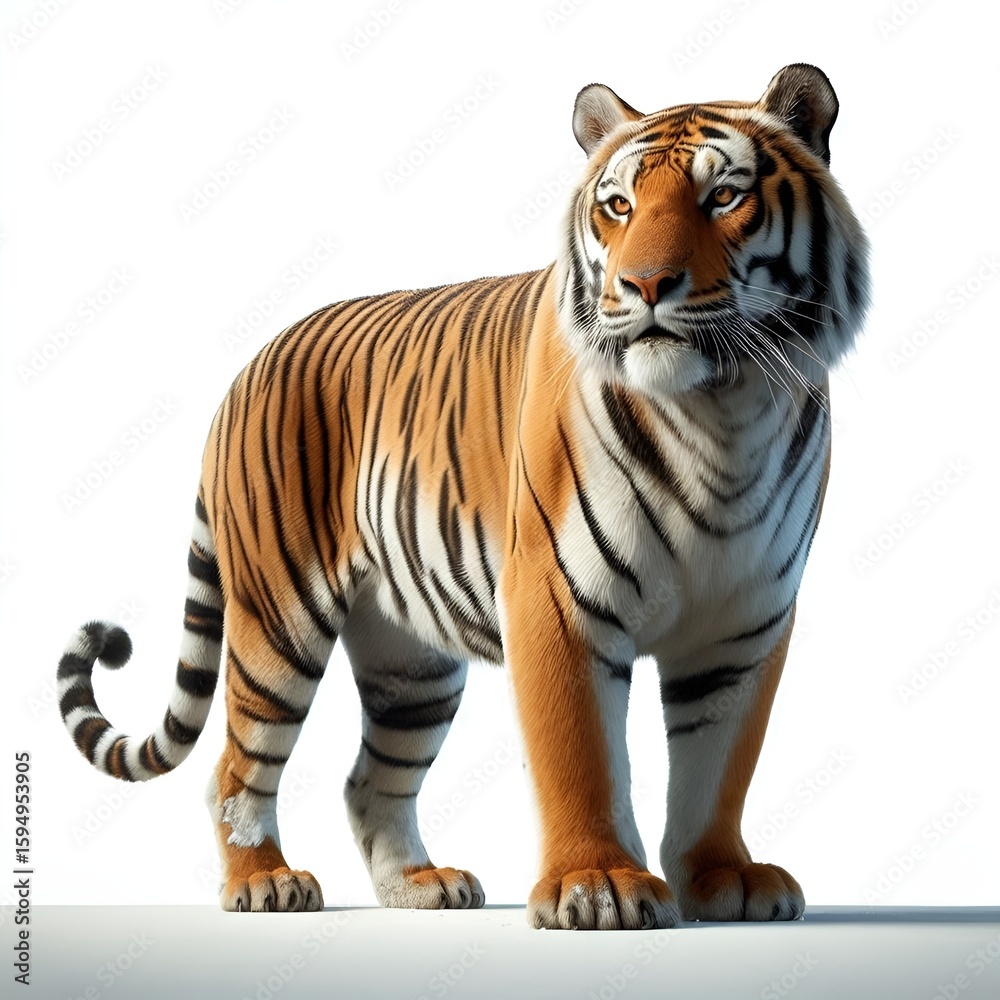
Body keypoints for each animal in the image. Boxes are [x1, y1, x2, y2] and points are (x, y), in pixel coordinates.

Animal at [57, 63, 869, 929]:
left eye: (723, 197)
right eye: (618, 205)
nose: (644, 284)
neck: (722, 410)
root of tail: (252, 362)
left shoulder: (744, 621)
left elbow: (721, 764)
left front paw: (725, 879)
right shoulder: (556, 595)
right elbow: (579, 751)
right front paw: (598, 884)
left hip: (409, 663)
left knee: (369, 780)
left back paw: (419, 886)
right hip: (276, 619)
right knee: (235, 767)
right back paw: (263, 883)